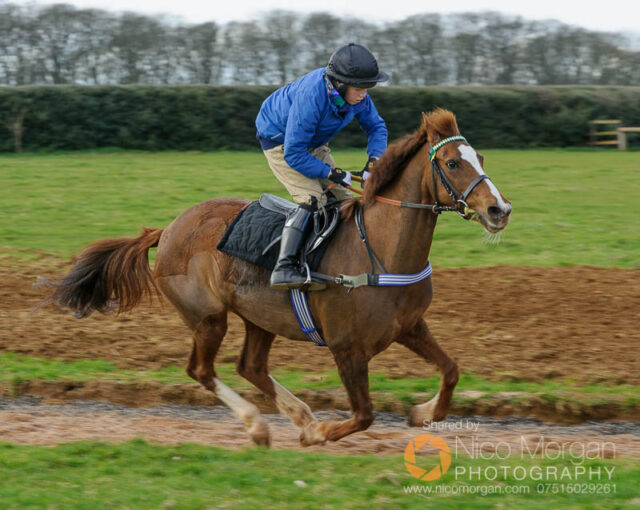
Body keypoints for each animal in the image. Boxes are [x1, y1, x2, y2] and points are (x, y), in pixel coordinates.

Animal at [45, 108, 511, 447]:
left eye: (481, 159)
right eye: (453, 162)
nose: (499, 210)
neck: (380, 251)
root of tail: (169, 228)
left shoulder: (409, 326)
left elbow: (451, 371)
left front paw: (421, 413)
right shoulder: (346, 347)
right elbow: (364, 414)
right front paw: (321, 433)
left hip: (260, 317)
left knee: (250, 366)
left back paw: (300, 417)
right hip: (208, 317)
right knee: (201, 369)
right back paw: (260, 425)